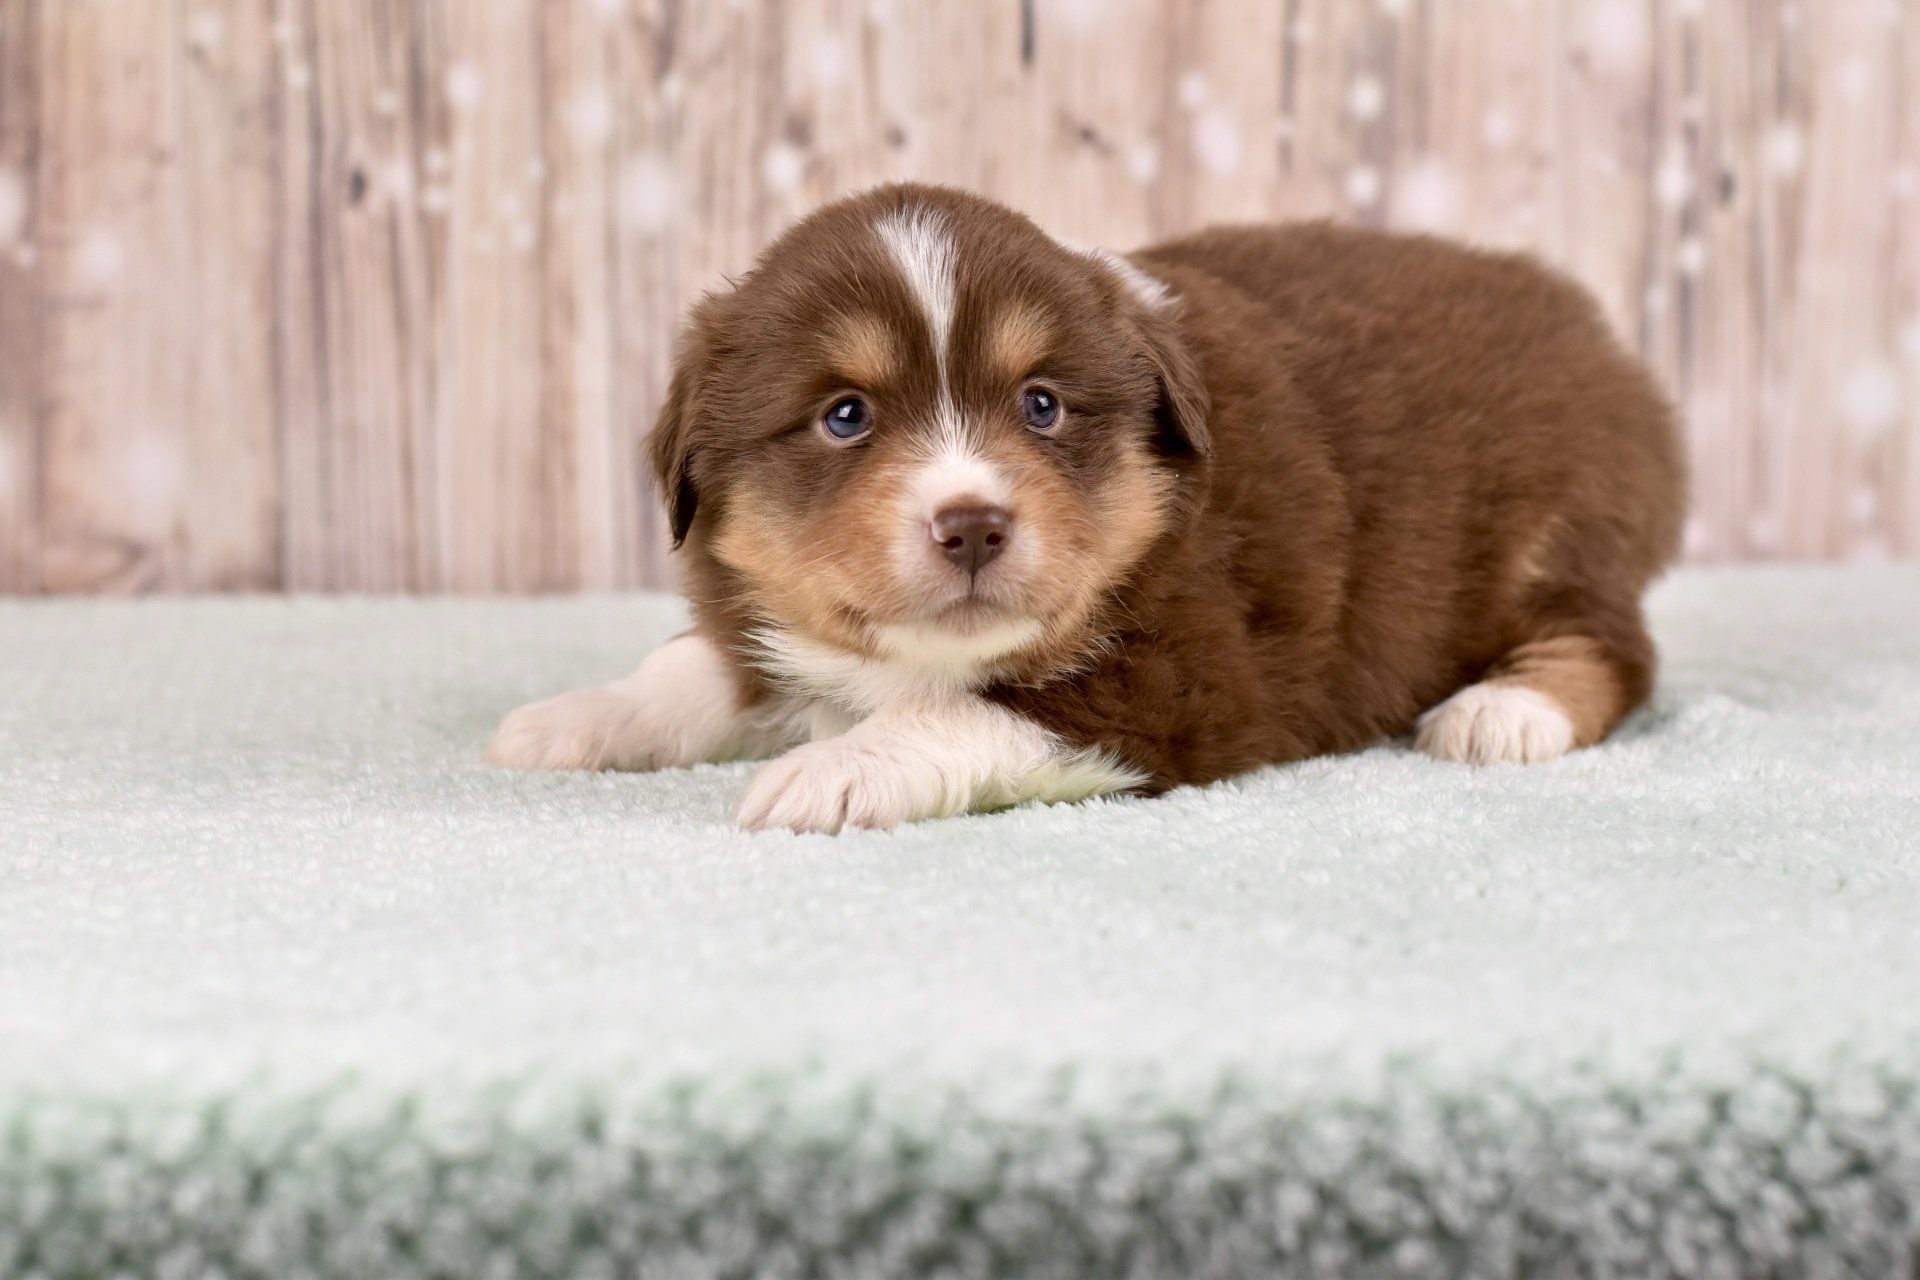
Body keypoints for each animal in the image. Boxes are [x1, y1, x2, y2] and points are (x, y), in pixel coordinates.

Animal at [489, 183, 1685, 833]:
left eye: (1042, 403)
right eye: (844, 416)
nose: (973, 524)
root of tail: (1603, 342)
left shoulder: (1183, 680)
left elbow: (967, 713)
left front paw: (830, 770)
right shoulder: (761, 604)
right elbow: (703, 665)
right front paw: (572, 717)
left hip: (1556, 529)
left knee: (1611, 647)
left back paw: (1503, 711)